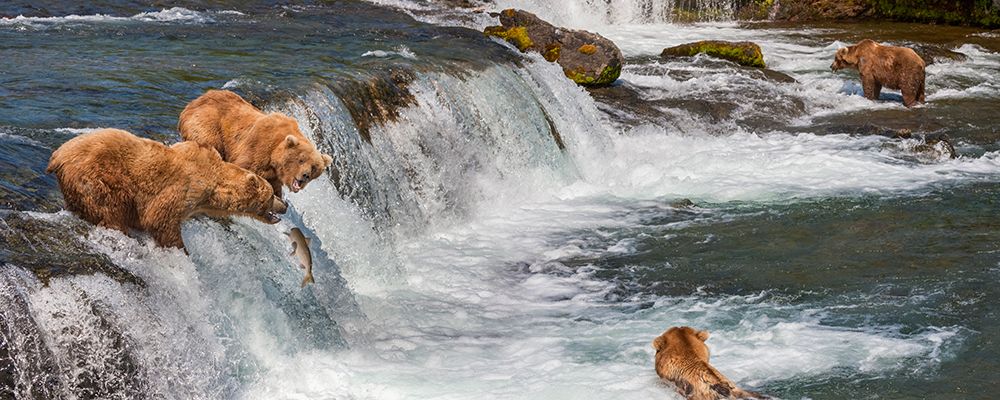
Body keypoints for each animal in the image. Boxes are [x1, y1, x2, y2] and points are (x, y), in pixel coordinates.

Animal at [46, 128, 287, 249]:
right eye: (271, 194)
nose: (284, 205)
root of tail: (57, 155)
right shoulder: (183, 186)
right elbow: (161, 219)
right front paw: (180, 248)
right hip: (95, 176)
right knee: (107, 207)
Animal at [177, 90, 333, 200]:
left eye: (314, 167)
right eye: (301, 160)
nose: (305, 175)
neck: (274, 155)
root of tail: (196, 100)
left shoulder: (274, 174)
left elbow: (275, 187)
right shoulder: (258, 147)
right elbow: (244, 166)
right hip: (208, 124)